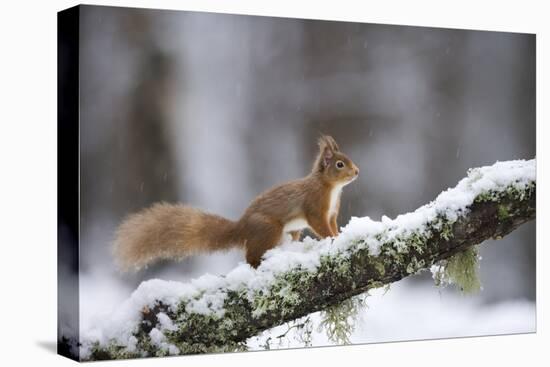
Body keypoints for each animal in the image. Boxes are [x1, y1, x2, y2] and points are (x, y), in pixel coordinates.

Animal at [114, 135, 360, 270]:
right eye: (339, 164)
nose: (357, 171)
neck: (331, 188)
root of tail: (241, 228)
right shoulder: (315, 207)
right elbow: (320, 225)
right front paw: (333, 238)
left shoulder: (332, 213)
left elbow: (333, 224)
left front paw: (339, 234)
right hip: (269, 228)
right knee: (251, 257)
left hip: (289, 232)